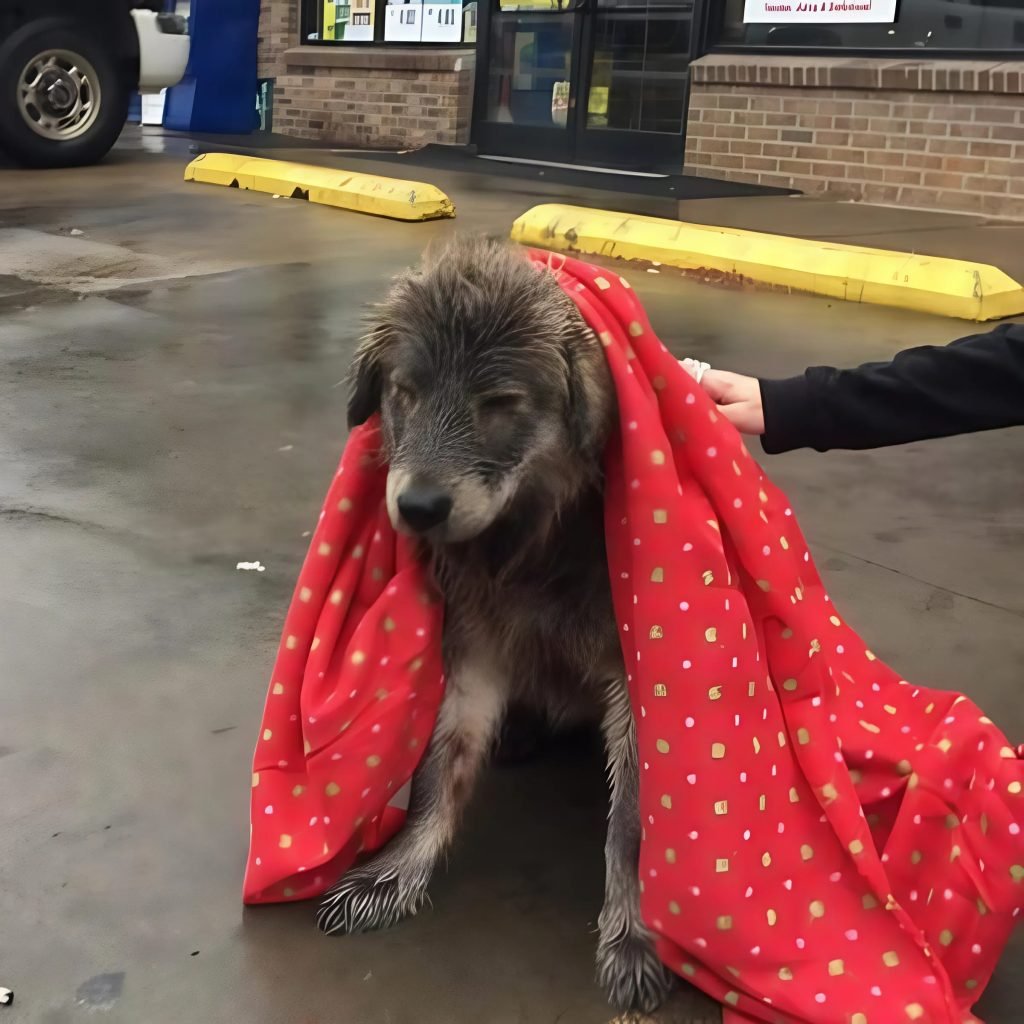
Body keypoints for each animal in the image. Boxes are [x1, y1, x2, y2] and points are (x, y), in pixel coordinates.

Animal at [315, 239, 675, 1015]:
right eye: (406, 392)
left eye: (502, 405)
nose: (418, 507)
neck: (532, 547)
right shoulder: (473, 650)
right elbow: (435, 776)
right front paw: (395, 871)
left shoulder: (639, 674)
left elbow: (634, 824)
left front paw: (634, 934)